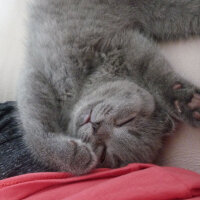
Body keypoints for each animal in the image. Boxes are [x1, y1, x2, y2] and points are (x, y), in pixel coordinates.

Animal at [16, 0, 200, 175]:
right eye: (127, 119)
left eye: (104, 154)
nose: (96, 127)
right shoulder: (37, 79)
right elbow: (34, 132)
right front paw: (74, 157)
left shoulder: (122, 42)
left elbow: (153, 70)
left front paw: (188, 103)